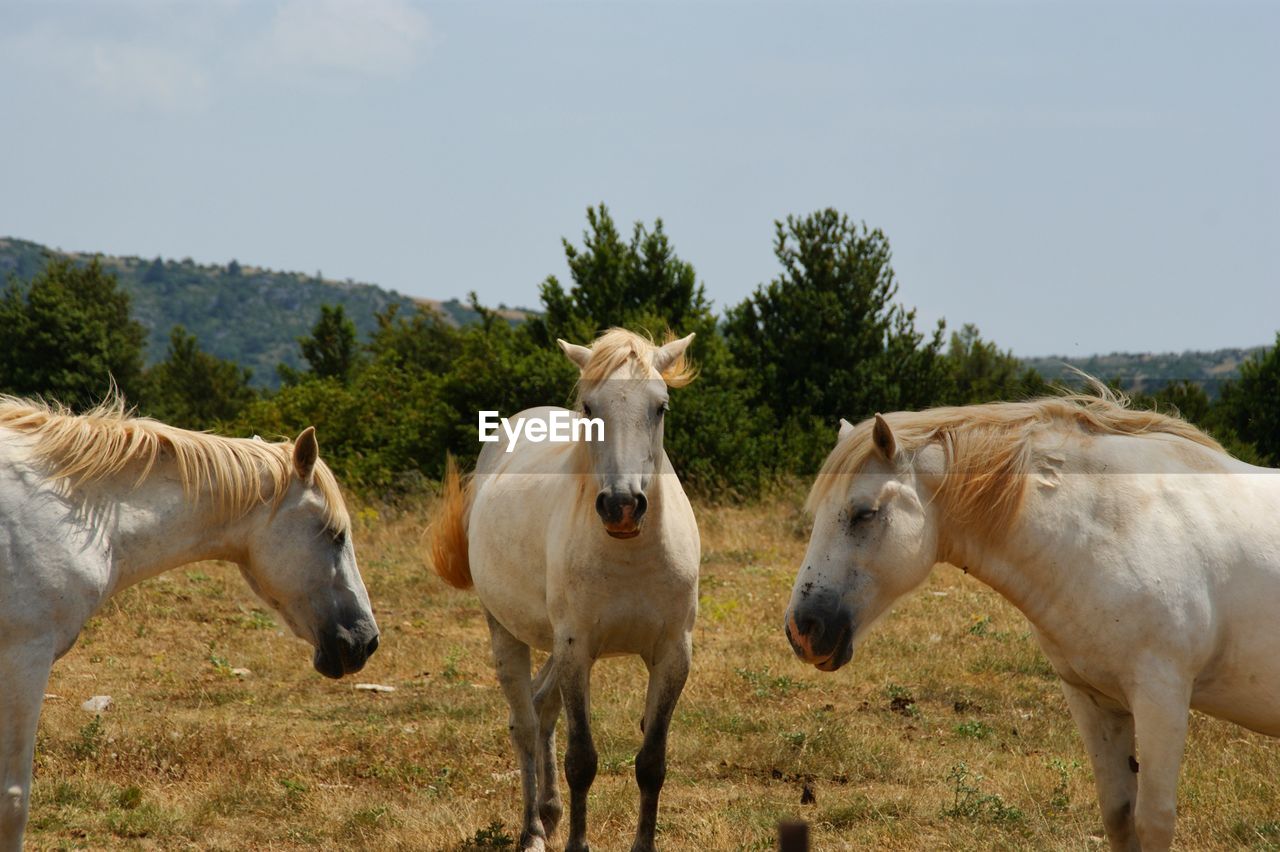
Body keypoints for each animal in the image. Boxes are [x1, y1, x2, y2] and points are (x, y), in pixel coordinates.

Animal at [430, 326, 701, 849]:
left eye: (660, 407)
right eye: (590, 407)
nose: (622, 506)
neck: (629, 556)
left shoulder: (672, 653)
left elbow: (651, 762)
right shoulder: (577, 649)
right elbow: (583, 761)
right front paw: (577, 841)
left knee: (544, 708)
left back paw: (549, 811)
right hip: (507, 632)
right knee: (525, 722)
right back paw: (533, 829)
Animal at [783, 386, 1280, 849]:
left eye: (864, 513)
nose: (802, 630)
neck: (1120, 526)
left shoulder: (1163, 697)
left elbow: (1153, 821)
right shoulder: (1093, 699)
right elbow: (1119, 814)